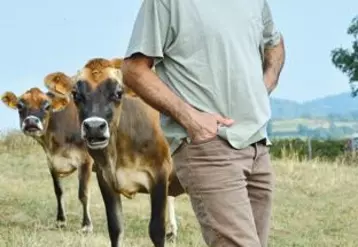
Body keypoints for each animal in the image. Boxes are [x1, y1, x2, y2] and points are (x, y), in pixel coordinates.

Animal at [0, 87, 95, 233]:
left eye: (47, 106)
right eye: (20, 105)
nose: (31, 122)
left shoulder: (86, 160)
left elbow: (83, 194)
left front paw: (86, 225)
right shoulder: (52, 163)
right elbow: (58, 192)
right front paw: (60, 221)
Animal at [42, 57, 185, 246]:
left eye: (118, 93)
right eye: (76, 94)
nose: (94, 127)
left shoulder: (160, 174)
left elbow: (156, 230)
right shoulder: (105, 178)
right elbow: (115, 228)